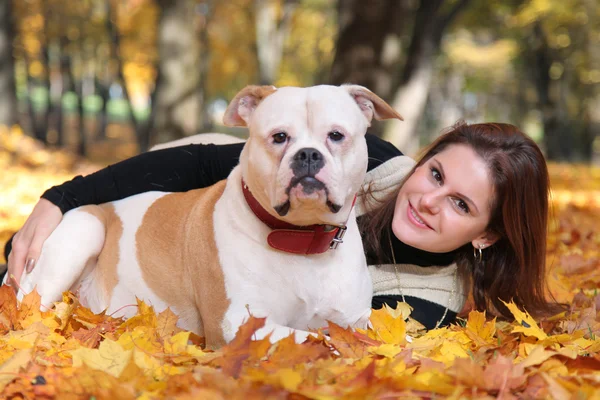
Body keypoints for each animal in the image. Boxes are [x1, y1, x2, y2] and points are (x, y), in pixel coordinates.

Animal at [15, 83, 404, 346]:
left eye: (336, 135)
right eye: (279, 137)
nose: (307, 155)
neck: (300, 239)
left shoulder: (356, 319)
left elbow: (390, 340)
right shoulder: (238, 323)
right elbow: (315, 339)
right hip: (83, 232)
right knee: (27, 311)